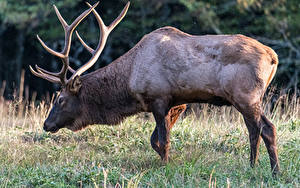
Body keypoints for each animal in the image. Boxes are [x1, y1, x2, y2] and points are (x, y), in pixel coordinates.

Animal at [29, 1, 278, 176]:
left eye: (60, 99)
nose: (46, 124)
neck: (129, 79)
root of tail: (272, 56)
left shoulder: (159, 98)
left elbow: (162, 140)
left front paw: (166, 167)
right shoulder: (177, 103)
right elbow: (154, 140)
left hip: (245, 96)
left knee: (263, 129)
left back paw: (264, 169)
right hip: (248, 99)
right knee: (260, 130)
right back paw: (263, 169)